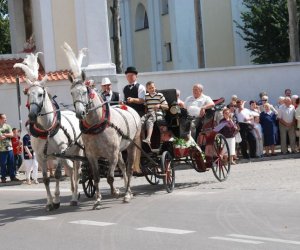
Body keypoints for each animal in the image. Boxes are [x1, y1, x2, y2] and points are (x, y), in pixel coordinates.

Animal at [68, 72, 141, 209]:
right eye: (71, 93)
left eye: (84, 92)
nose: (80, 113)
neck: (97, 125)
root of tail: (129, 108)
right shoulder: (92, 156)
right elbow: (96, 178)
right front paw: (98, 200)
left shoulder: (112, 155)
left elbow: (110, 177)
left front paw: (116, 192)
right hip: (119, 150)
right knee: (123, 167)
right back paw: (126, 190)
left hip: (131, 145)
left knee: (129, 170)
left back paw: (127, 194)